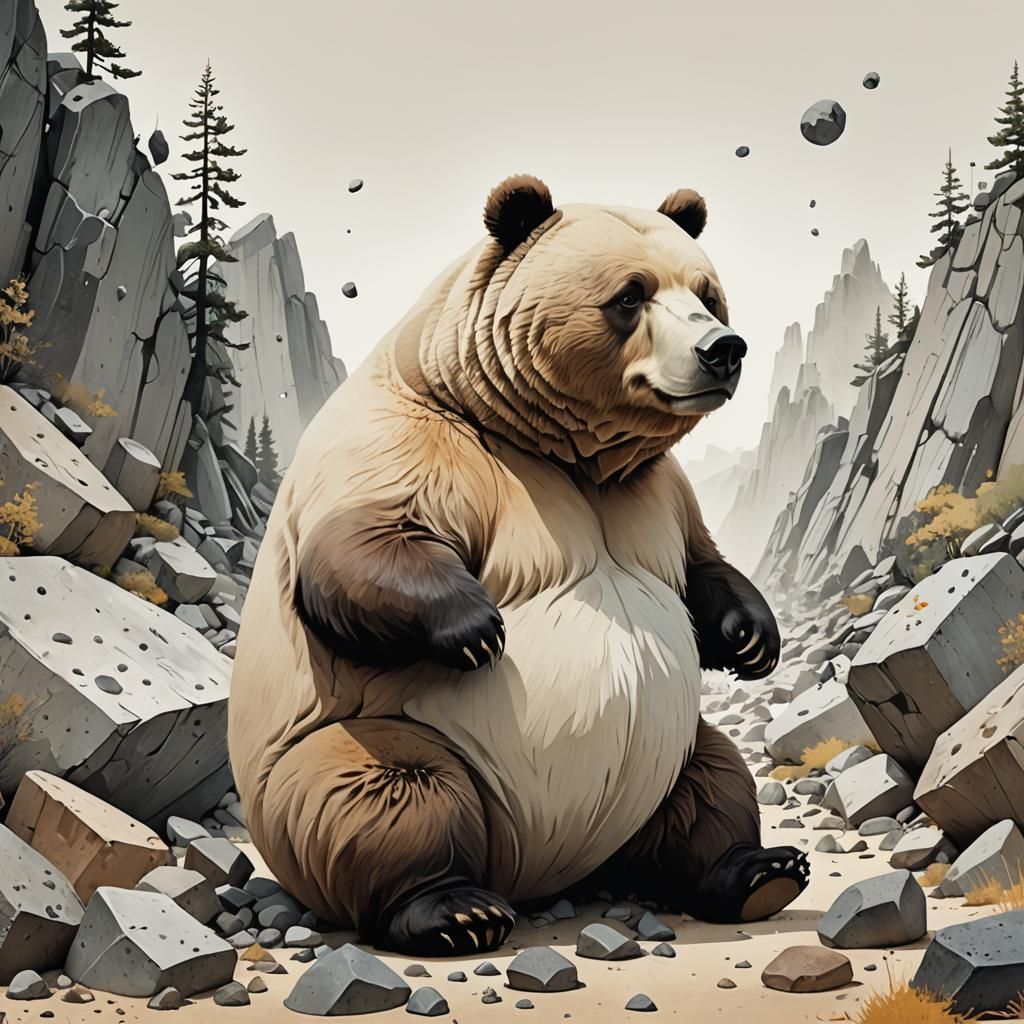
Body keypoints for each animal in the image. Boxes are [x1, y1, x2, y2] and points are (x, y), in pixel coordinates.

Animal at [228, 175, 809, 956]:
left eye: (707, 294)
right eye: (630, 295)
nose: (723, 348)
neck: (570, 455)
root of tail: (547, 867)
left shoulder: (656, 491)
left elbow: (698, 567)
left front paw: (753, 638)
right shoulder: (425, 443)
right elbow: (360, 544)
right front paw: (478, 628)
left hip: (667, 751)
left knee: (713, 780)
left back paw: (757, 870)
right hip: (366, 743)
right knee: (388, 792)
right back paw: (452, 908)